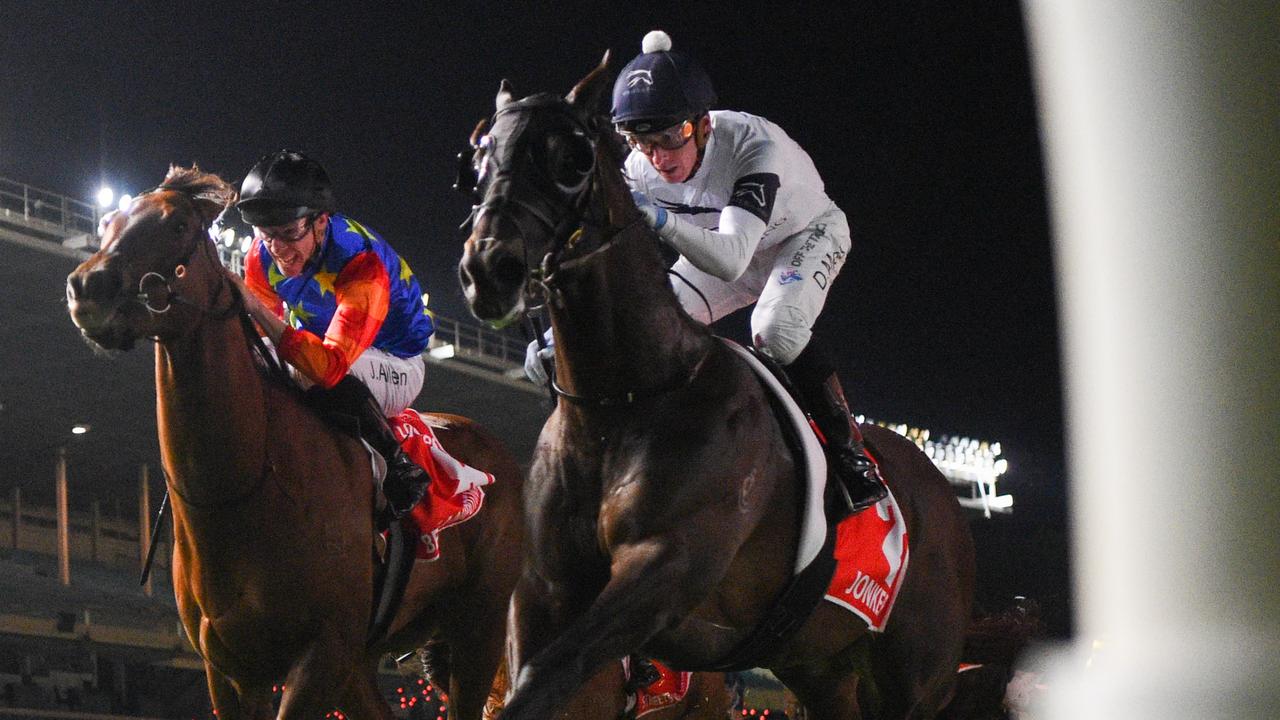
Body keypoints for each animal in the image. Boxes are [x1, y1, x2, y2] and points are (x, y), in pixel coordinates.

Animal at [63, 165, 524, 712]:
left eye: (177, 225)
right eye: (108, 221)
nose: (88, 287)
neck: (250, 489)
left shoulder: (322, 653)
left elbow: (332, 362)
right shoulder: (232, 670)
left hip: (479, 627)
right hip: (372, 659)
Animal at [460, 57, 977, 717]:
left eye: (571, 161)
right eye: (479, 163)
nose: (487, 269)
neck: (621, 403)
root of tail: (945, 498)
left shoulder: (668, 565)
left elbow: (552, 672)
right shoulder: (546, 587)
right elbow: (528, 673)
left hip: (915, 678)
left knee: (781, 325)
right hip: (819, 667)